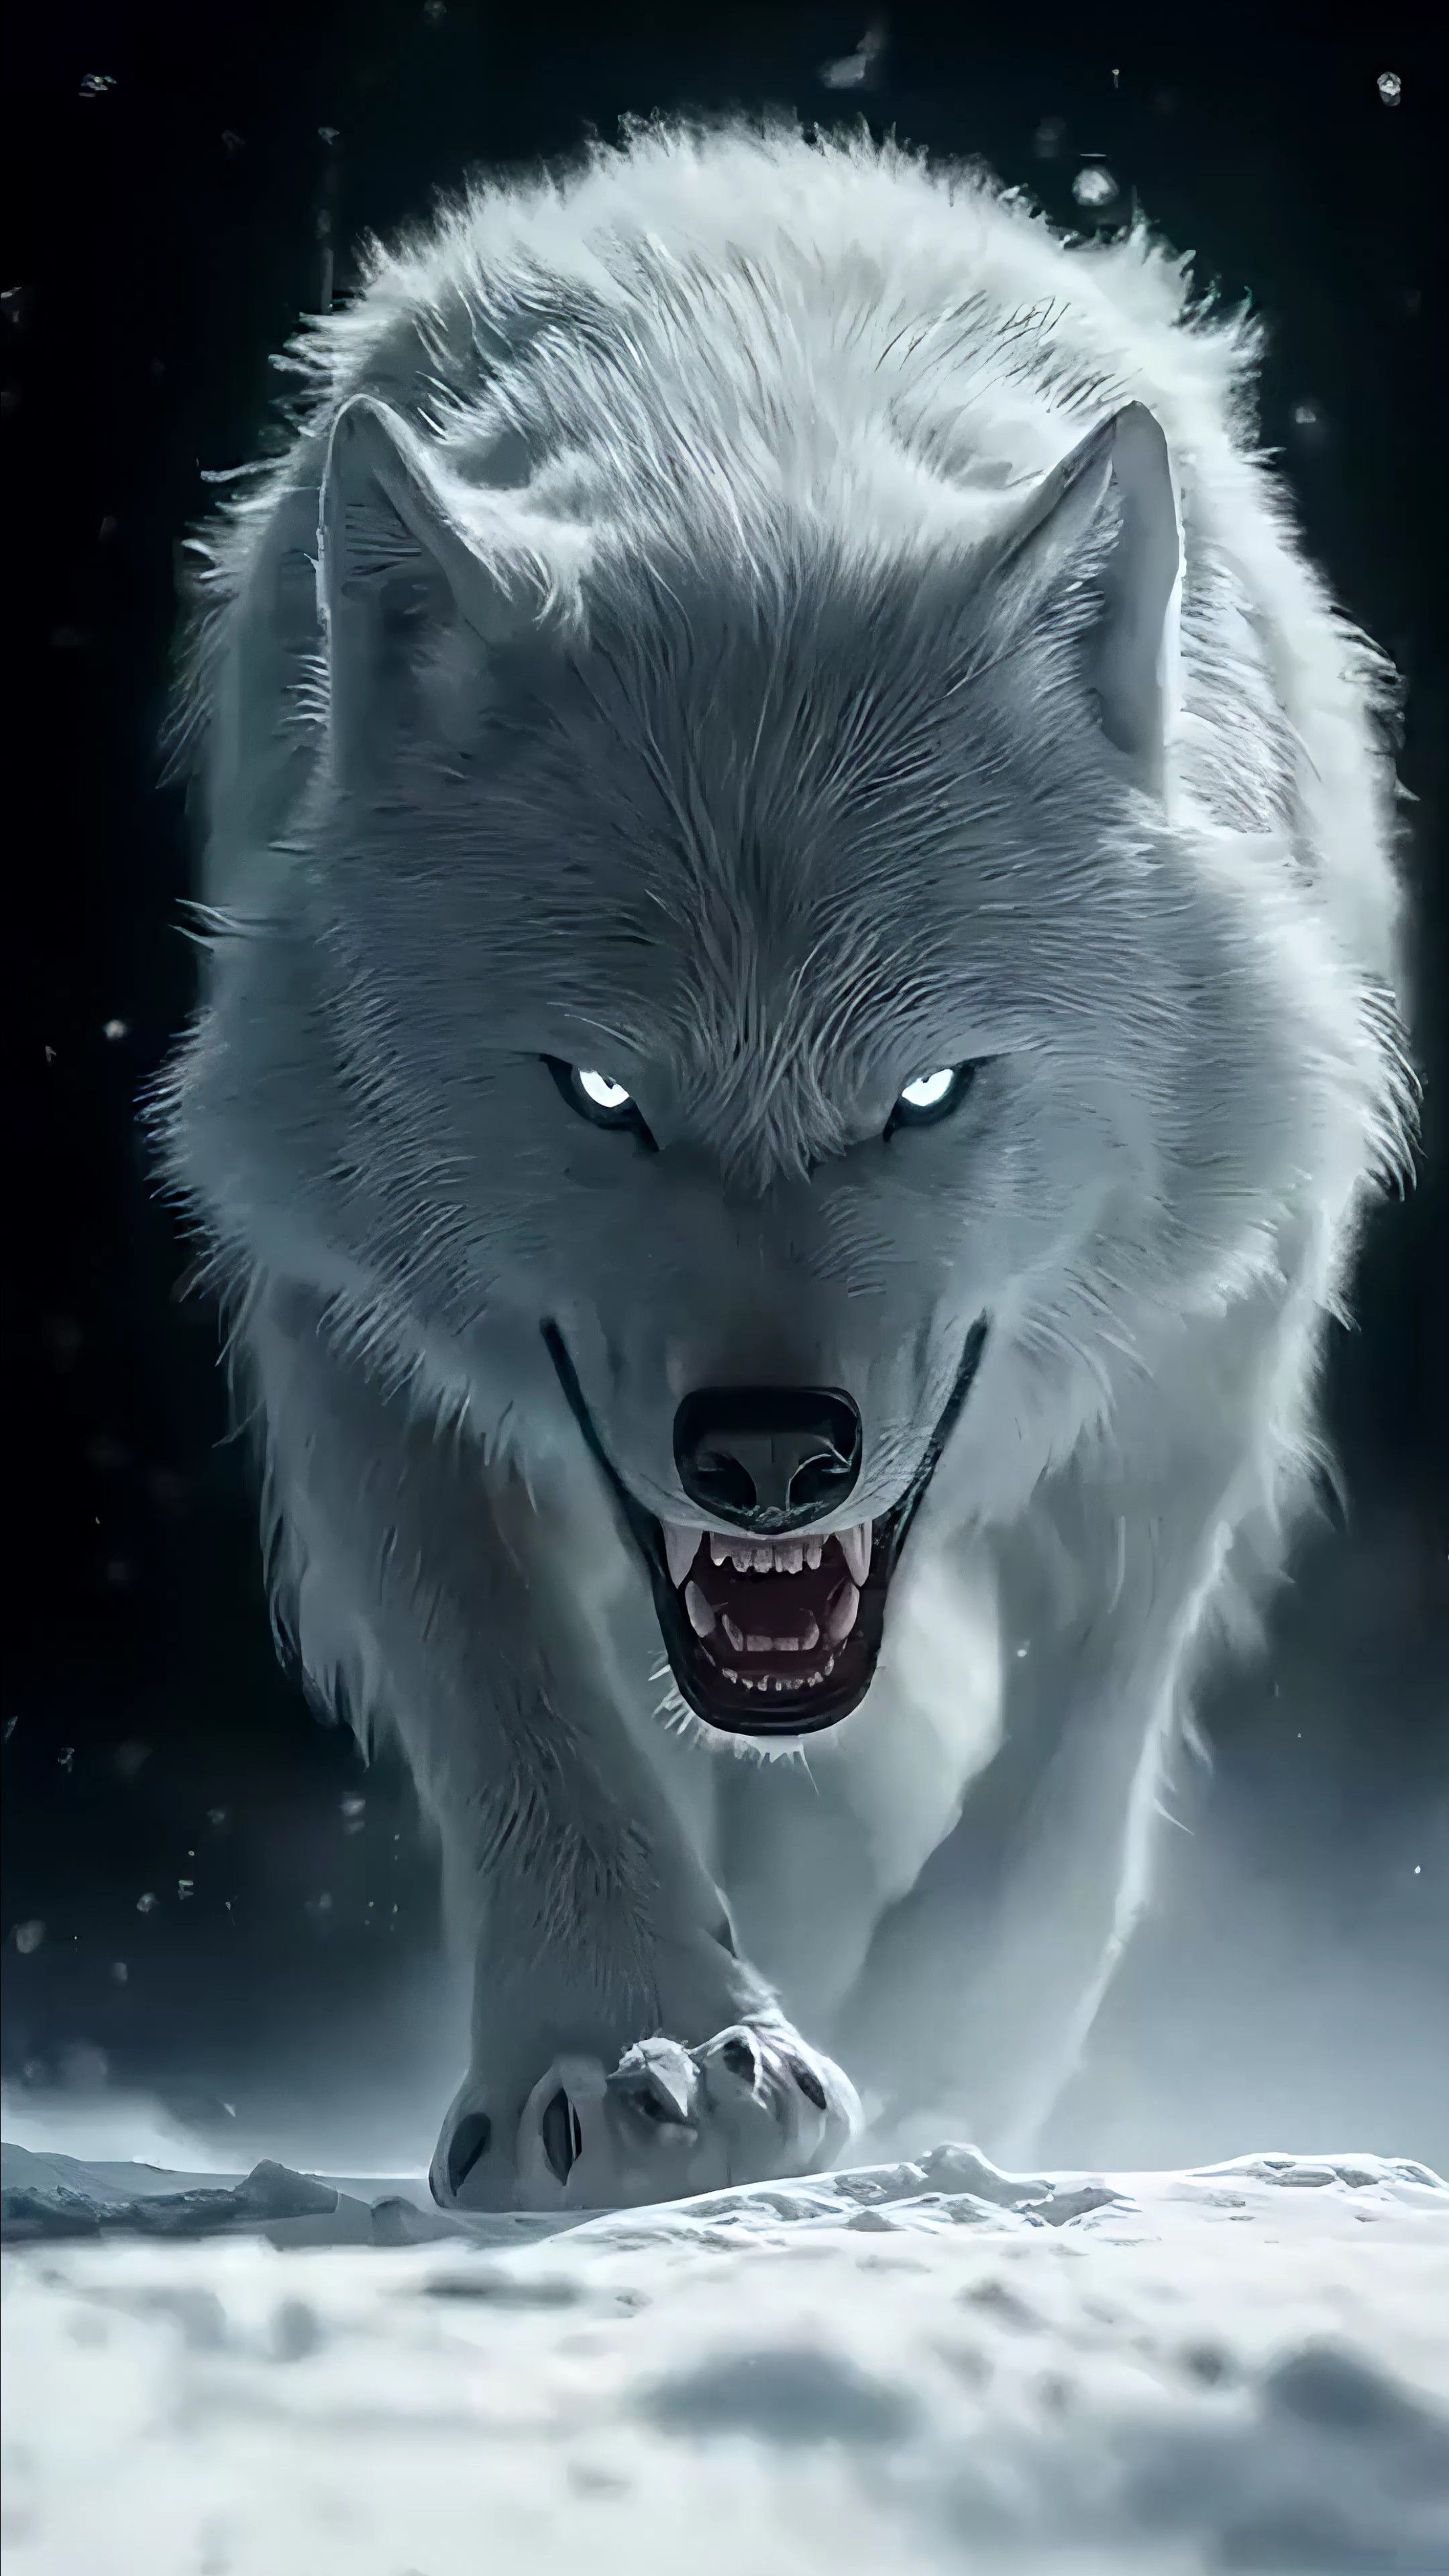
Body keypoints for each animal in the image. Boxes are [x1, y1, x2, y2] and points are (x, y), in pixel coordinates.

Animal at [152, 119, 1409, 2212]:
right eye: (599, 1094)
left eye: (927, 1093)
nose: (766, 1454)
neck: (751, 441)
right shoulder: (345, 1330)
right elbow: (521, 1707)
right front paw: (636, 2053)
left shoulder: (1205, 1361)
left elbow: (1069, 1768)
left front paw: (930, 2074)